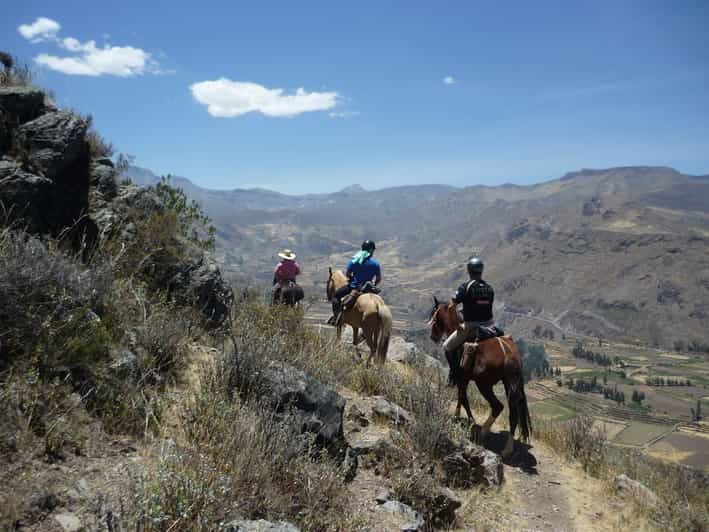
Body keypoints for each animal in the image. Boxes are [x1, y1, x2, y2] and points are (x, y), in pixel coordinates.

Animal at [426, 298, 532, 456]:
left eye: (435, 314)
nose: (433, 337)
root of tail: (508, 354)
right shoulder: (463, 379)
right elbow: (461, 397)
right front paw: (458, 414)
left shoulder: (462, 377)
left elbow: (463, 398)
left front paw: (469, 420)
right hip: (510, 385)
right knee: (512, 414)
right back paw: (508, 448)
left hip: (484, 384)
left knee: (497, 406)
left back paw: (482, 432)